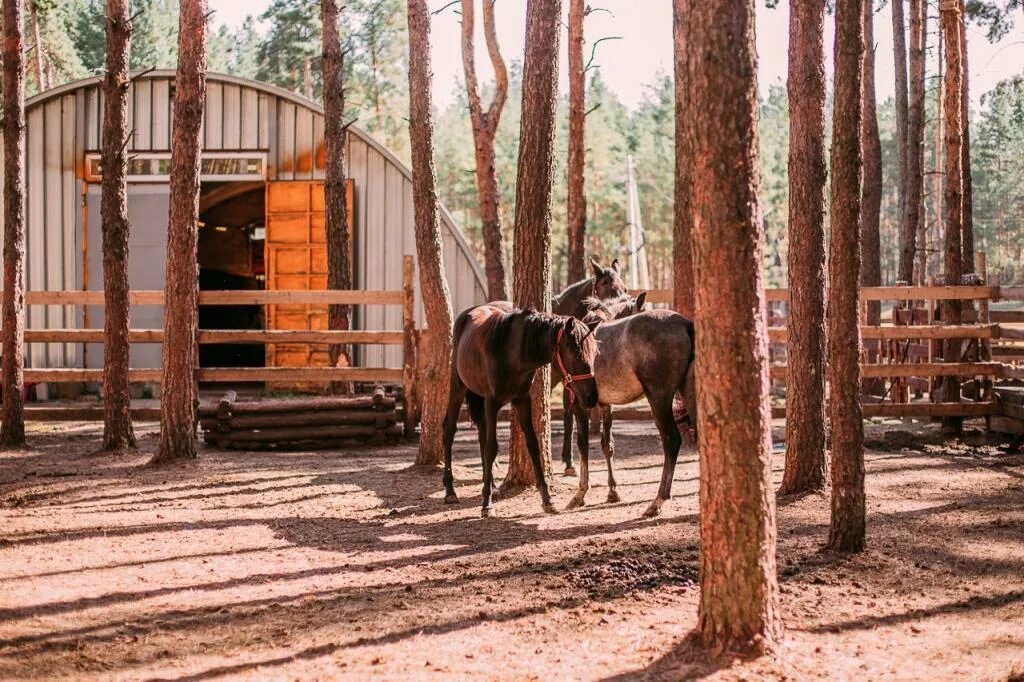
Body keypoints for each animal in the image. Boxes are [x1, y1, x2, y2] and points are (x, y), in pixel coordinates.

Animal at [440, 301, 598, 516]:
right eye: (576, 353)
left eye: (594, 354)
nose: (592, 398)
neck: (512, 352)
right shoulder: (492, 401)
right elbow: (492, 448)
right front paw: (486, 504)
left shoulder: (522, 400)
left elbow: (533, 444)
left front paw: (547, 499)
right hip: (458, 388)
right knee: (449, 431)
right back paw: (450, 491)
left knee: (481, 432)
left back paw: (491, 486)